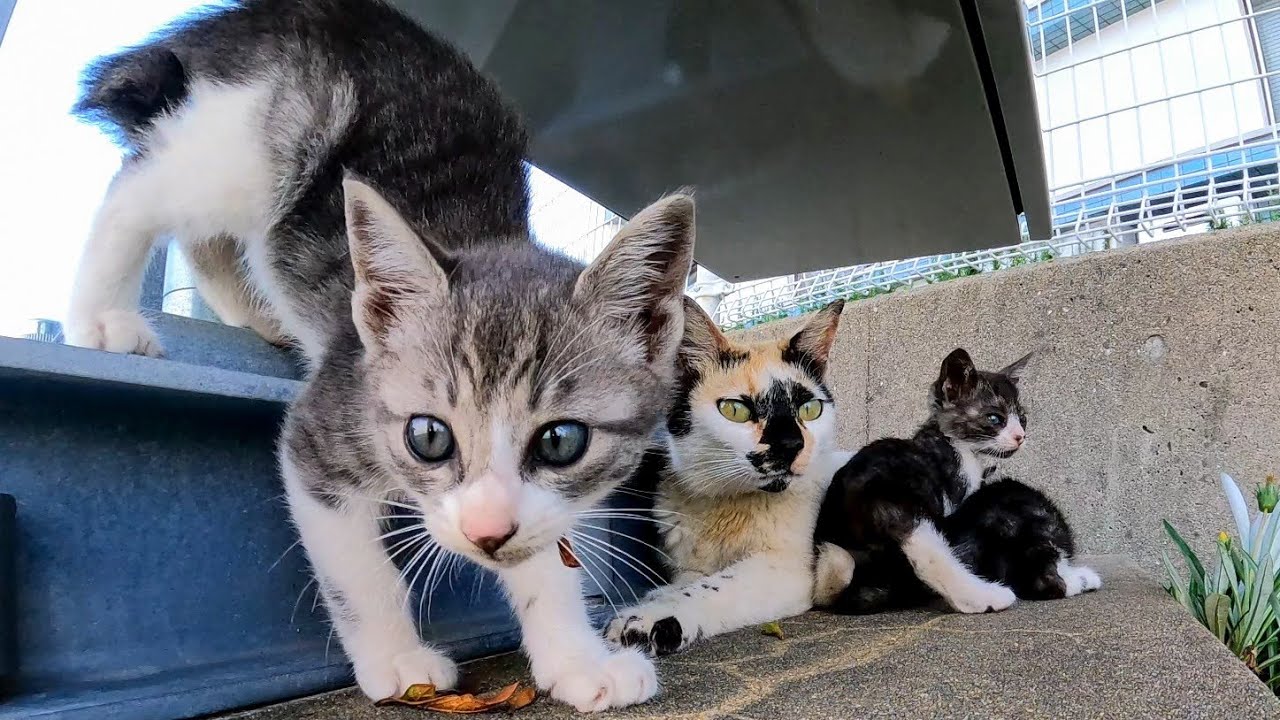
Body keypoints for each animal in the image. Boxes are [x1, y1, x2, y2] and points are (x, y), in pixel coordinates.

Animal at [64, 0, 696, 707]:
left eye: (561, 442)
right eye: (429, 437)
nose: (486, 532)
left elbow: (546, 554)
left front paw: (576, 659)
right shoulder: (320, 432)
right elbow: (356, 571)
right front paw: (397, 660)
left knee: (209, 241)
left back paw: (256, 311)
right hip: (265, 136)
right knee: (143, 184)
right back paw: (103, 315)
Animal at [606, 297, 855, 650]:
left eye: (810, 409)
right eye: (735, 410)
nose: (792, 444)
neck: (726, 510)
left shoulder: (785, 568)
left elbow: (713, 587)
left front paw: (653, 617)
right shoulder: (688, 562)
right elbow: (690, 580)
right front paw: (656, 597)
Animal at [808, 348, 1100, 609]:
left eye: (1023, 419)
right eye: (995, 418)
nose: (1020, 437)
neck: (956, 446)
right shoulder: (957, 501)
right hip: (900, 508)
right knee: (930, 558)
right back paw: (986, 598)